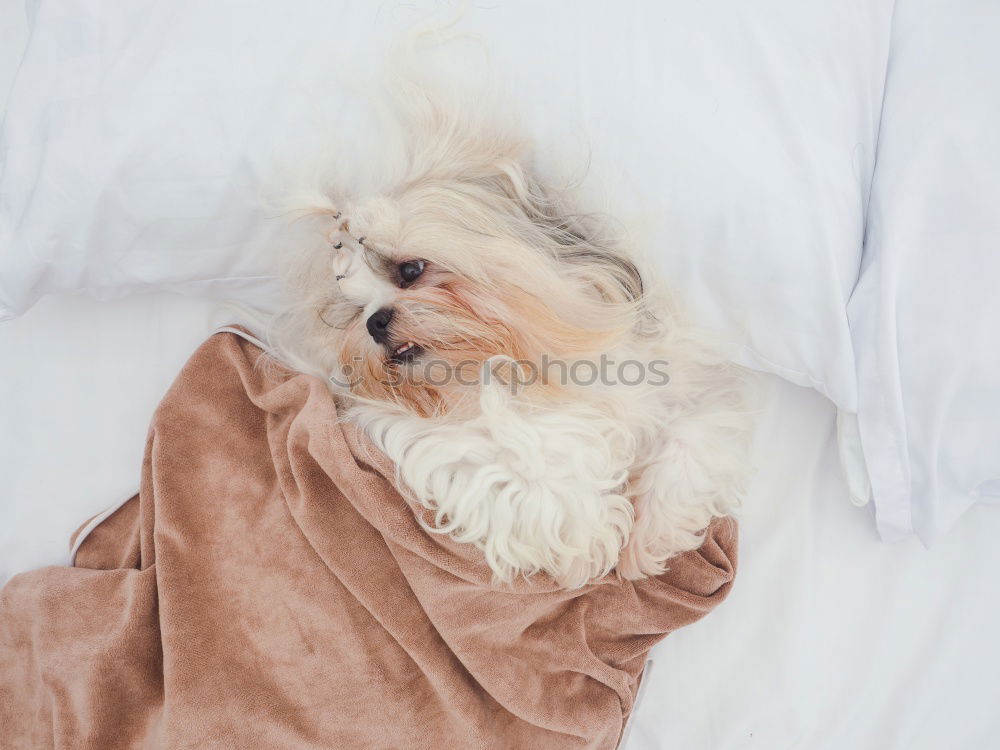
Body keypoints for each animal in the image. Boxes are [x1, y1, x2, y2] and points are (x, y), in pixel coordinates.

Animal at [266, 73, 752, 592]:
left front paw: (650, 540)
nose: (375, 322)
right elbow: (536, 478)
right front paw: (590, 540)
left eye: (410, 270)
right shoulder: (447, 446)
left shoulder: (683, 385)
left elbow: (690, 439)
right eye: (355, 310)